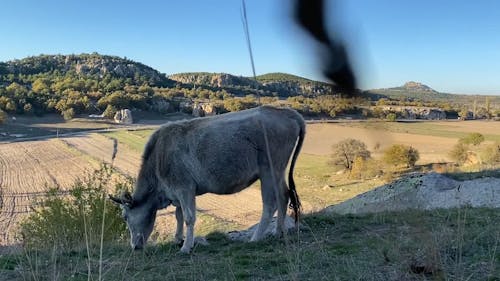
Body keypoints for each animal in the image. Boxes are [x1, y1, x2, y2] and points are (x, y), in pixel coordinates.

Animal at [109, 104, 304, 252]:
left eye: (124, 217)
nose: (134, 247)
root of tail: (285, 111)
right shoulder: (178, 192)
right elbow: (179, 215)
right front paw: (178, 239)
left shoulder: (184, 187)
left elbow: (189, 217)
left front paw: (186, 247)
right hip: (278, 171)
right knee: (284, 196)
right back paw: (279, 232)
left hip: (269, 171)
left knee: (270, 203)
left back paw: (256, 238)